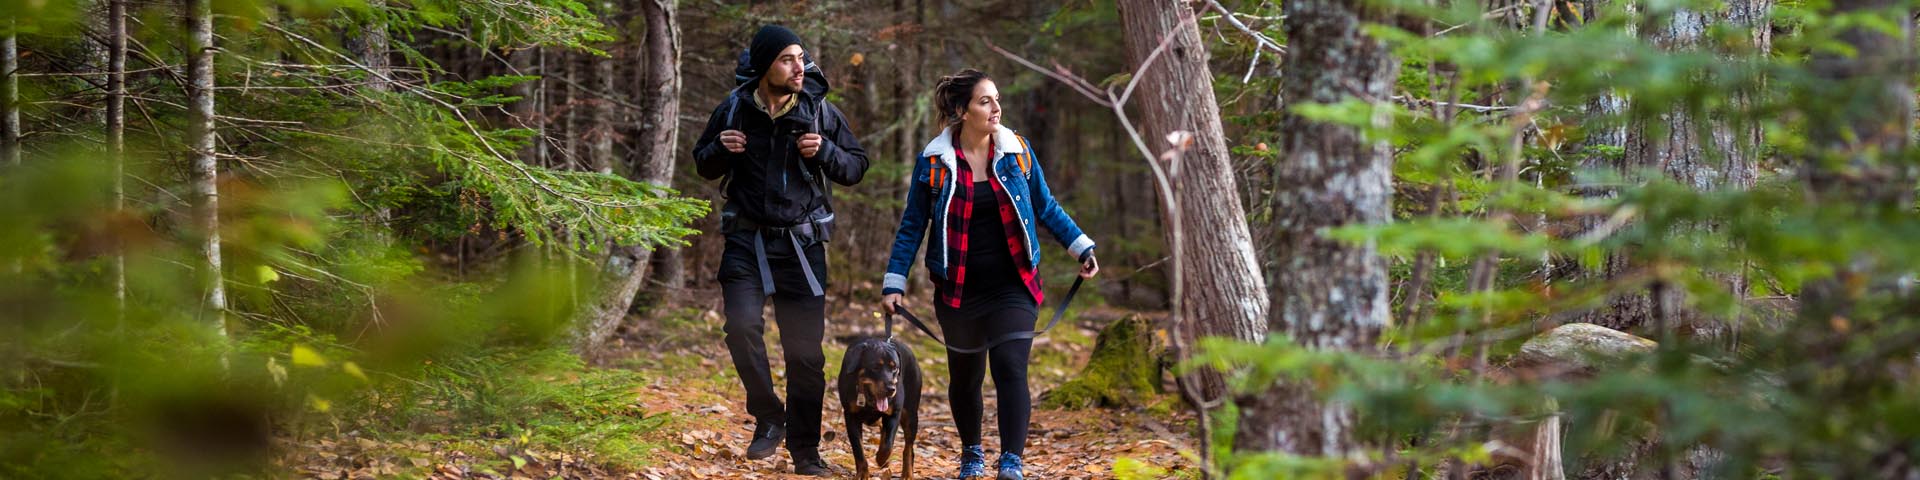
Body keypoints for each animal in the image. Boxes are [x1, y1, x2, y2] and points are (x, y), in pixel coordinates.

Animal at [840, 337, 921, 480]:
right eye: (875, 367)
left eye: (895, 368)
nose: (891, 389)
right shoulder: (850, 416)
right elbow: (858, 448)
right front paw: (862, 473)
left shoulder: (894, 413)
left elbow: (888, 444)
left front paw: (881, 458)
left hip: (911, 414)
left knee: (908, 447)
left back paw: (907, 473)